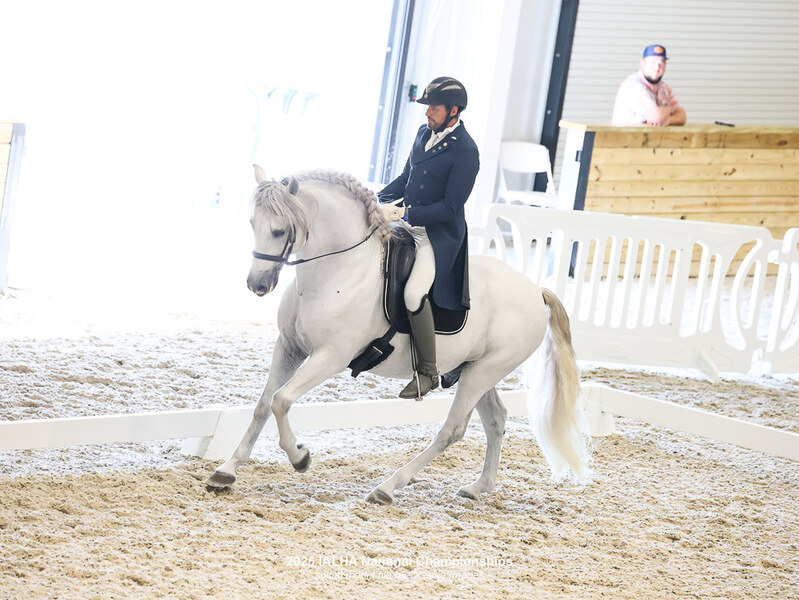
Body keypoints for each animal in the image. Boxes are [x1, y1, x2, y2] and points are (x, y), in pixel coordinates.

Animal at [205, 167, 592, 504]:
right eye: (253, 224)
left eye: (279, 231)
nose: (257, 284)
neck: (339, 270)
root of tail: (534, 290)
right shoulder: (289, 347)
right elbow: (263, 405)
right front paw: (227, 470)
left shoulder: (331, 356)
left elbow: (282, 401)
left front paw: (300, 457)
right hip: (477, 369)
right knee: (496, 419)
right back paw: (479, 486)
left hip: (484, 371)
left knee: (452, 430)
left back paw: (388, 487)